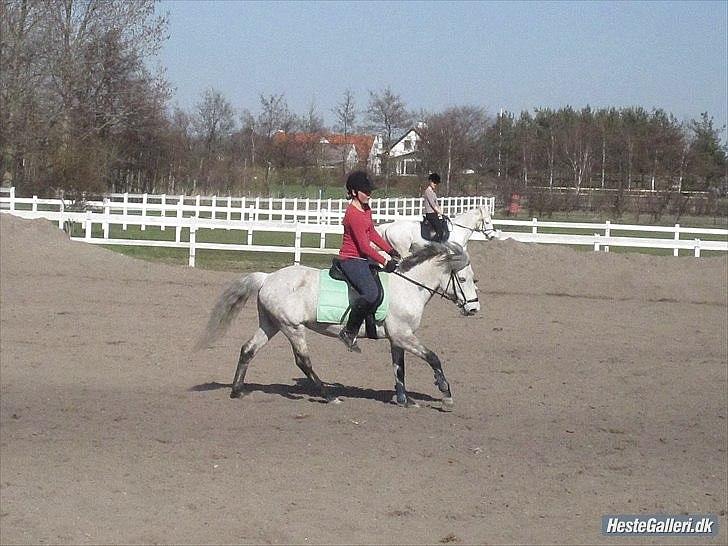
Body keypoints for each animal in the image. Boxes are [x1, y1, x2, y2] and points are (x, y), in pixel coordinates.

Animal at [198, 240, 472, 406]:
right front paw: (445, 392)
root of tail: (267, 278)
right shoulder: (403, 335)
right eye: (464, 279)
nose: (473, 308)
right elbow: (433, 357)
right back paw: (329, 396)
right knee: (303, 361)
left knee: (248, 349)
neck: (408, 287)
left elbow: (399, 368)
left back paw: (237, 390)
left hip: (271, 324)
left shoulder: (398, 337)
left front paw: (405, 400)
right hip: (291, 327)